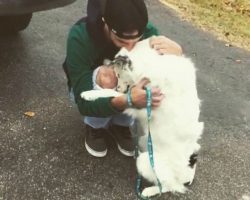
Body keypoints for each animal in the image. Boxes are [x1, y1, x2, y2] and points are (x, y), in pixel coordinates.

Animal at [81, 38, 204, 198]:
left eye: (119, 75)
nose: (118, 86)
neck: (154, 64)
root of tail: (188, 176)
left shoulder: (141, 106)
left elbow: (114, 94)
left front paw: (89, 94)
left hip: (146, 162)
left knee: (168, 186)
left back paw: (149, 191)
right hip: (144, 141)